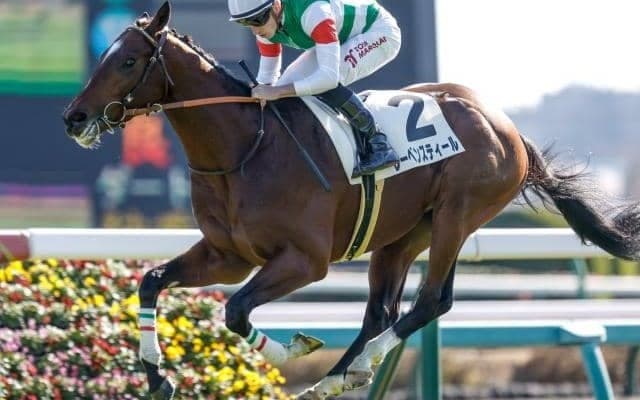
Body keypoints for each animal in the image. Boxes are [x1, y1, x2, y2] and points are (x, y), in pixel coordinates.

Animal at [62, 2, 640, 399]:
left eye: (128, 59)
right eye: (104, 55)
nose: (74, 117)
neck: (246, 148)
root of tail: (509, 129)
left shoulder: (305, 260)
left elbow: (236, 310)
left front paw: (294, 349)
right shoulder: (227, 255)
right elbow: (152, 281)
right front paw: (157, 376)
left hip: (457, 213)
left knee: (432, 301)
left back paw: (350, 370)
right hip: (403, 235)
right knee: (383, 310)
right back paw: (339, 376)